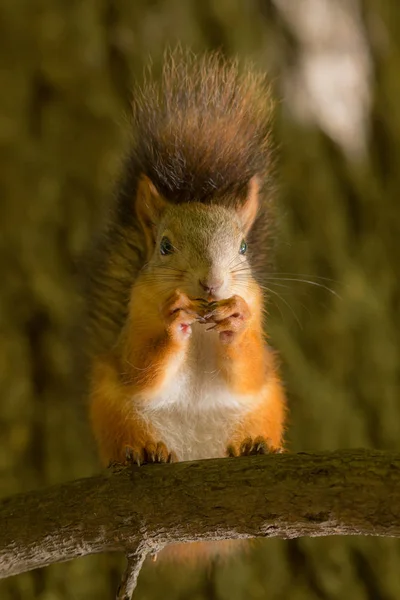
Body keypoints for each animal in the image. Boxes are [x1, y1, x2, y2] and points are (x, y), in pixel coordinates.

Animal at [84, 49, 286, 560]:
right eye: (165, 246)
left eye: (243, 248)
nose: (211, 284)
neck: (201, 333)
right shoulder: (132, 327)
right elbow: (141, 369)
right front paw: (172, 318)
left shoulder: (259, 335)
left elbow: (249, 369)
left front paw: (235, 320)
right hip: (116, 415)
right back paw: (143, 453)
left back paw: (255, 446)